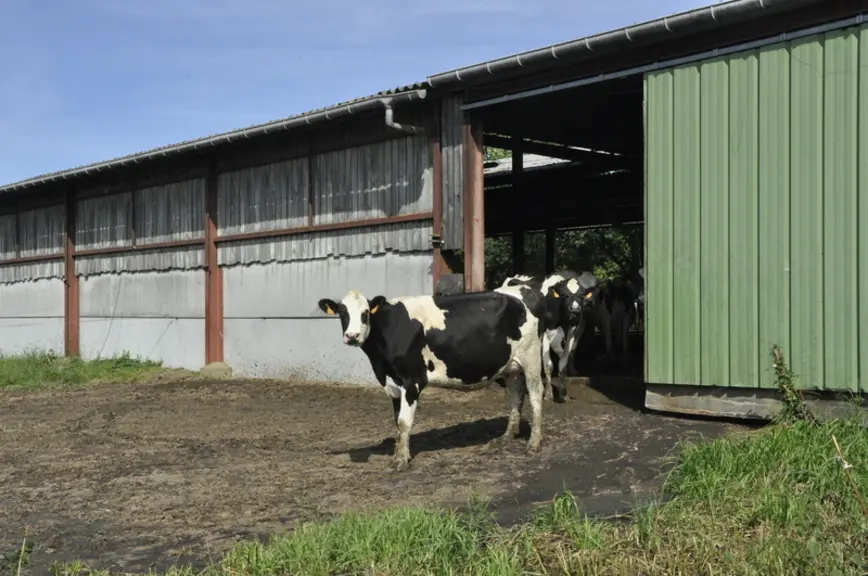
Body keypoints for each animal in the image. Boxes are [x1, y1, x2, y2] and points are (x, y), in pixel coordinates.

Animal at [317, 285, 546, 471]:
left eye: (365, 313)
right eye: (342, 313)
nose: (352, 336)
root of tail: (524, 290)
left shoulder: (411, 381)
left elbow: (404, 421)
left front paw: (401, 461)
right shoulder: (392, 384)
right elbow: (397, 422)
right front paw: (399, 454)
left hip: (531, 358)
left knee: (536, 395)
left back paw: (534, 443)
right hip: (511, 367)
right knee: (516, 395)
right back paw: (507, 437)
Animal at [501, 270, 595, 403]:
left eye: (581, 295)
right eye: (564, 295)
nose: (575, 309)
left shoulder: (572, 331)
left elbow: (563, 363)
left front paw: (563, 394)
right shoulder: (545, 333)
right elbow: (548, 365)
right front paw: (549, 394)